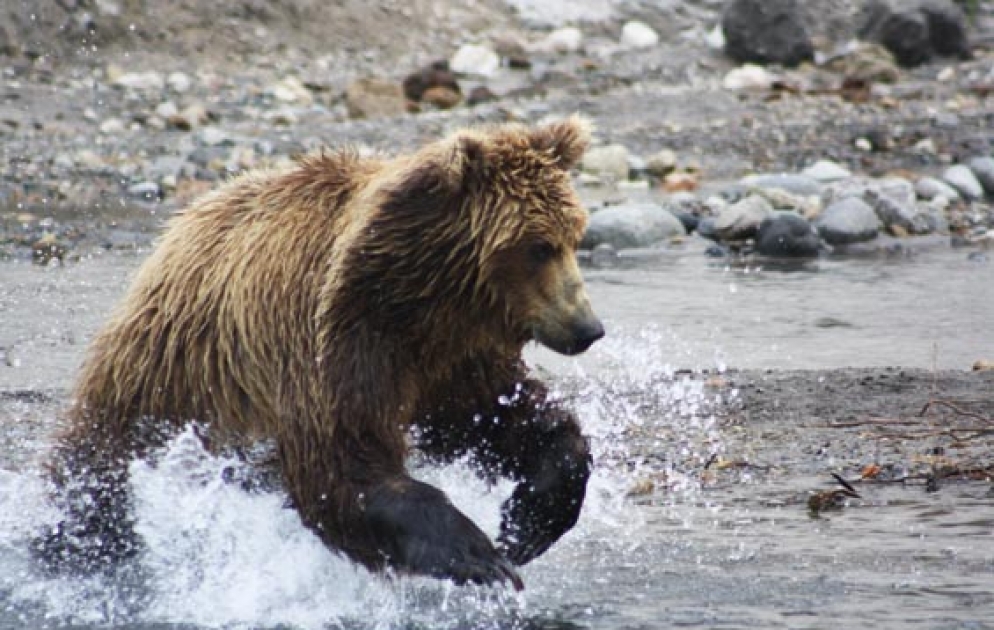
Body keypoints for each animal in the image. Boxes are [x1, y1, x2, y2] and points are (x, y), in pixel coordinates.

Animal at [37, 116, 603, 590]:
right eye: (538, 246)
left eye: (574, 236)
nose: (588, 327)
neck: (426, 300)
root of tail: (173, 232)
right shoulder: (337, 338)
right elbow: (339, 463)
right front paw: (479, 554)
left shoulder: (451, 360)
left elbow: (504, 419)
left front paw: (525, 524)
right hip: (166, 378)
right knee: (99, 470)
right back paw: (74, 545)